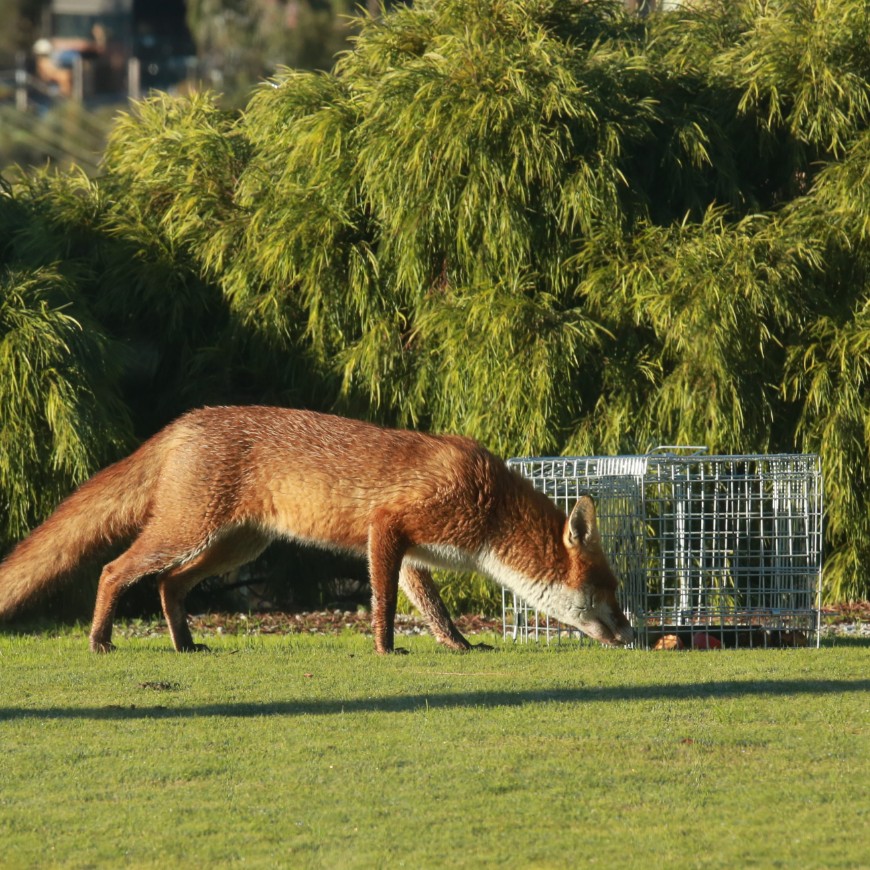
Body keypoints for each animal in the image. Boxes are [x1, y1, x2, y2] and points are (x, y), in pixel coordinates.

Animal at [0, 408, 636, 656]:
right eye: (612, 591)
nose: (635, 635)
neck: (491, 506)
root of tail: (186, 421)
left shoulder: (410, 552)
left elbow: (433, 608)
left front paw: (457, 645)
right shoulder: (389, 528)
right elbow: (382, 606)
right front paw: (386, 650)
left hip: (234, 544)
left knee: (169, 585)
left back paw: (185, 645)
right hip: (187, 532)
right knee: (115, 570)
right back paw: (100, 640)